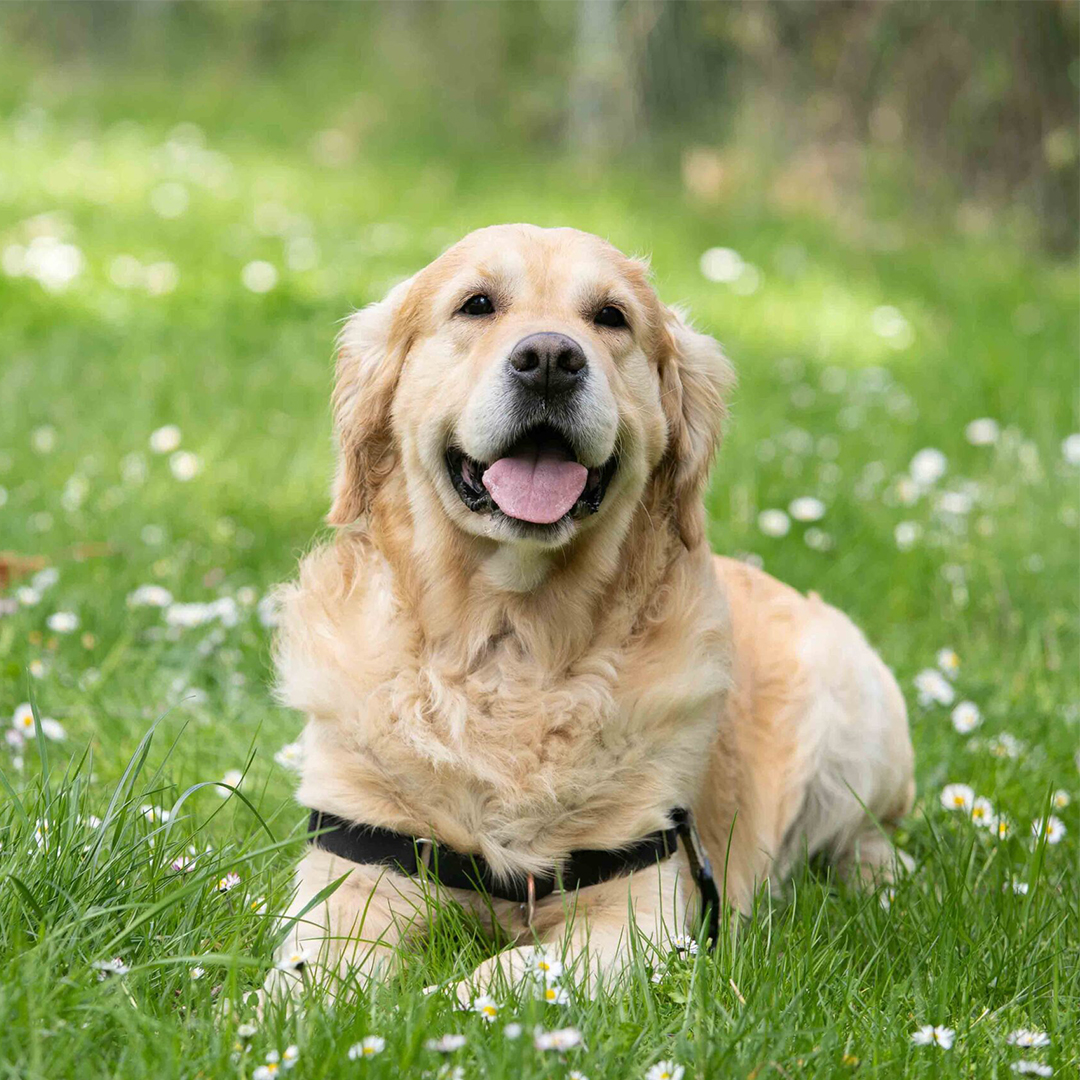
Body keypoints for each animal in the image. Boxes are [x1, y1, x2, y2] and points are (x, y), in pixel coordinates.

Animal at [265, 223, 915, 997]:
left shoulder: (640, 912)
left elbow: (499, 976)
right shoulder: (353, 874)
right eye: (476, 304)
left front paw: (434, 1003)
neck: (512, 644)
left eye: (611, 317)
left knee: (867, 833)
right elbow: (308, 978)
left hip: (857, 704)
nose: (550, 359)